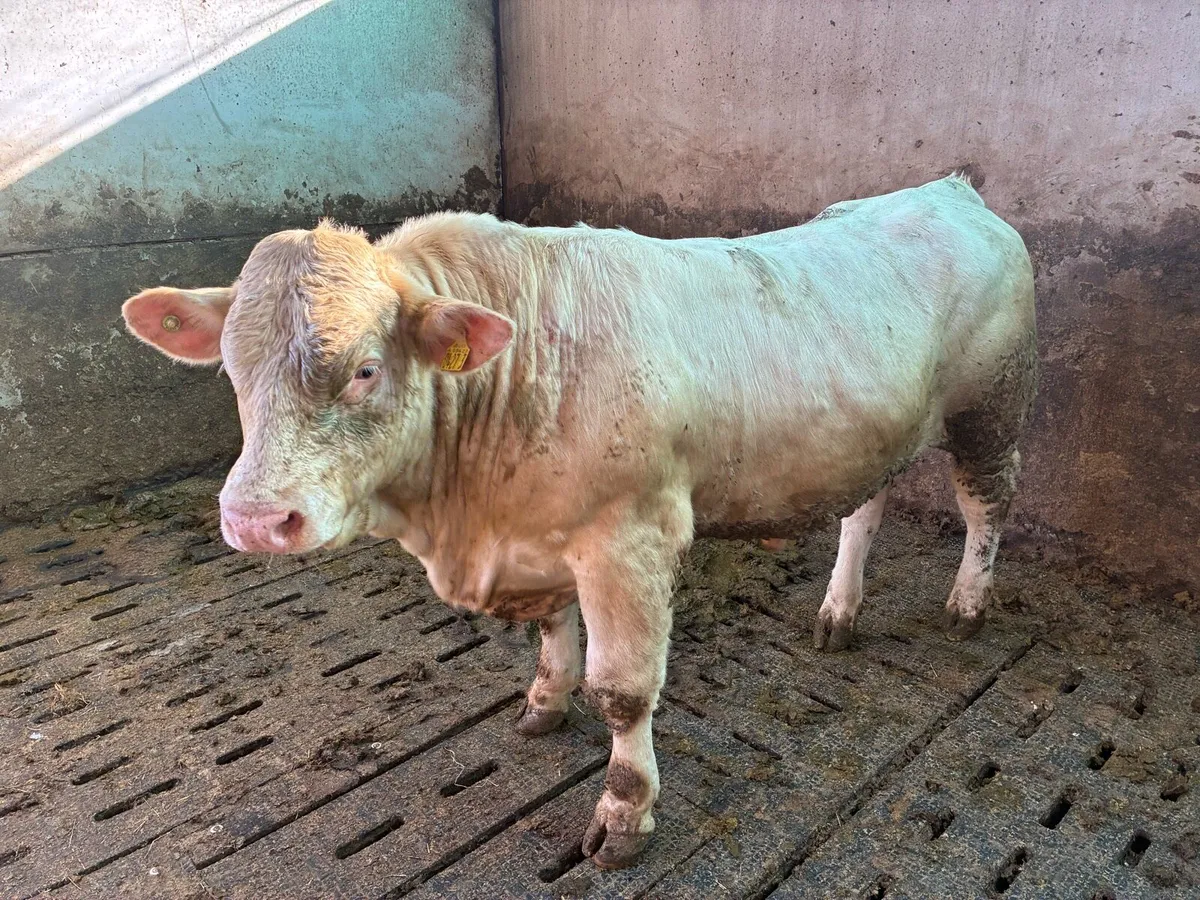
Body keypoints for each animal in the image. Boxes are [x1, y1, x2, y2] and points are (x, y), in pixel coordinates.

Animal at [121, 174, 1036, 869]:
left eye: (366, 370)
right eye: (230, 370)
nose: (252, 519)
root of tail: (949, 189)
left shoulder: (628, 539)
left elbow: (623, 693)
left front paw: (624, 817)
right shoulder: (540, 532)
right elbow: (551, 634)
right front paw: (544, 700)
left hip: (991, 404)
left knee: (986, 502)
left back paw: (968, 601)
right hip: (880, 430)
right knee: (867, 509)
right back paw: (839, 609)